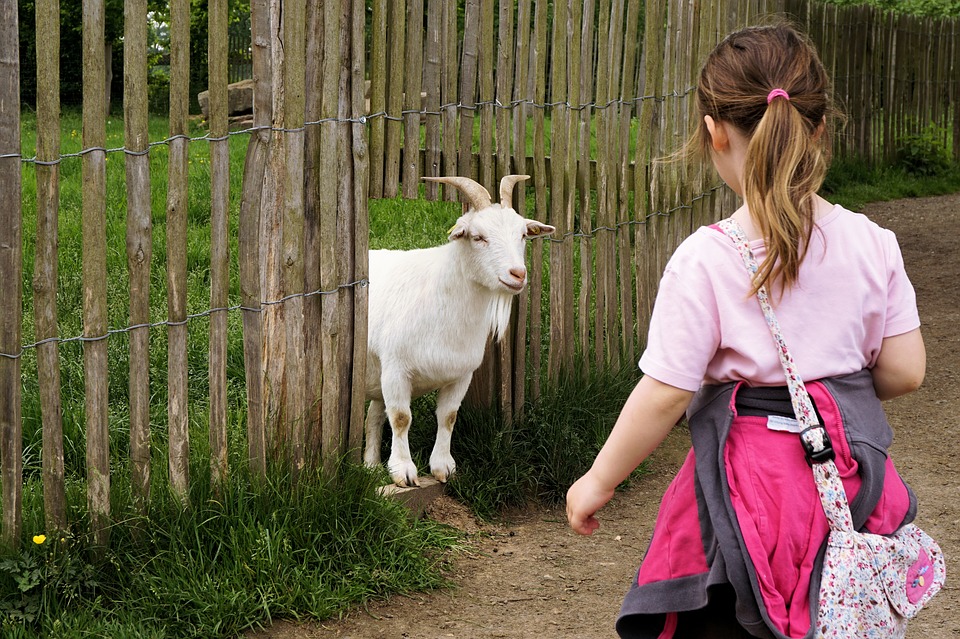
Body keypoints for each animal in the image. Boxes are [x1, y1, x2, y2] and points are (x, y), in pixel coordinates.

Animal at [364, 174, 556, 484]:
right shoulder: (396, 370)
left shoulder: (460, 375)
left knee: (373, 416)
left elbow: (448, 416)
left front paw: (443, 467)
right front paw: (404, 471)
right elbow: (401, 418)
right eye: (478, 237)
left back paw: (369, 465)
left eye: (523, 235)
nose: (518, 274)